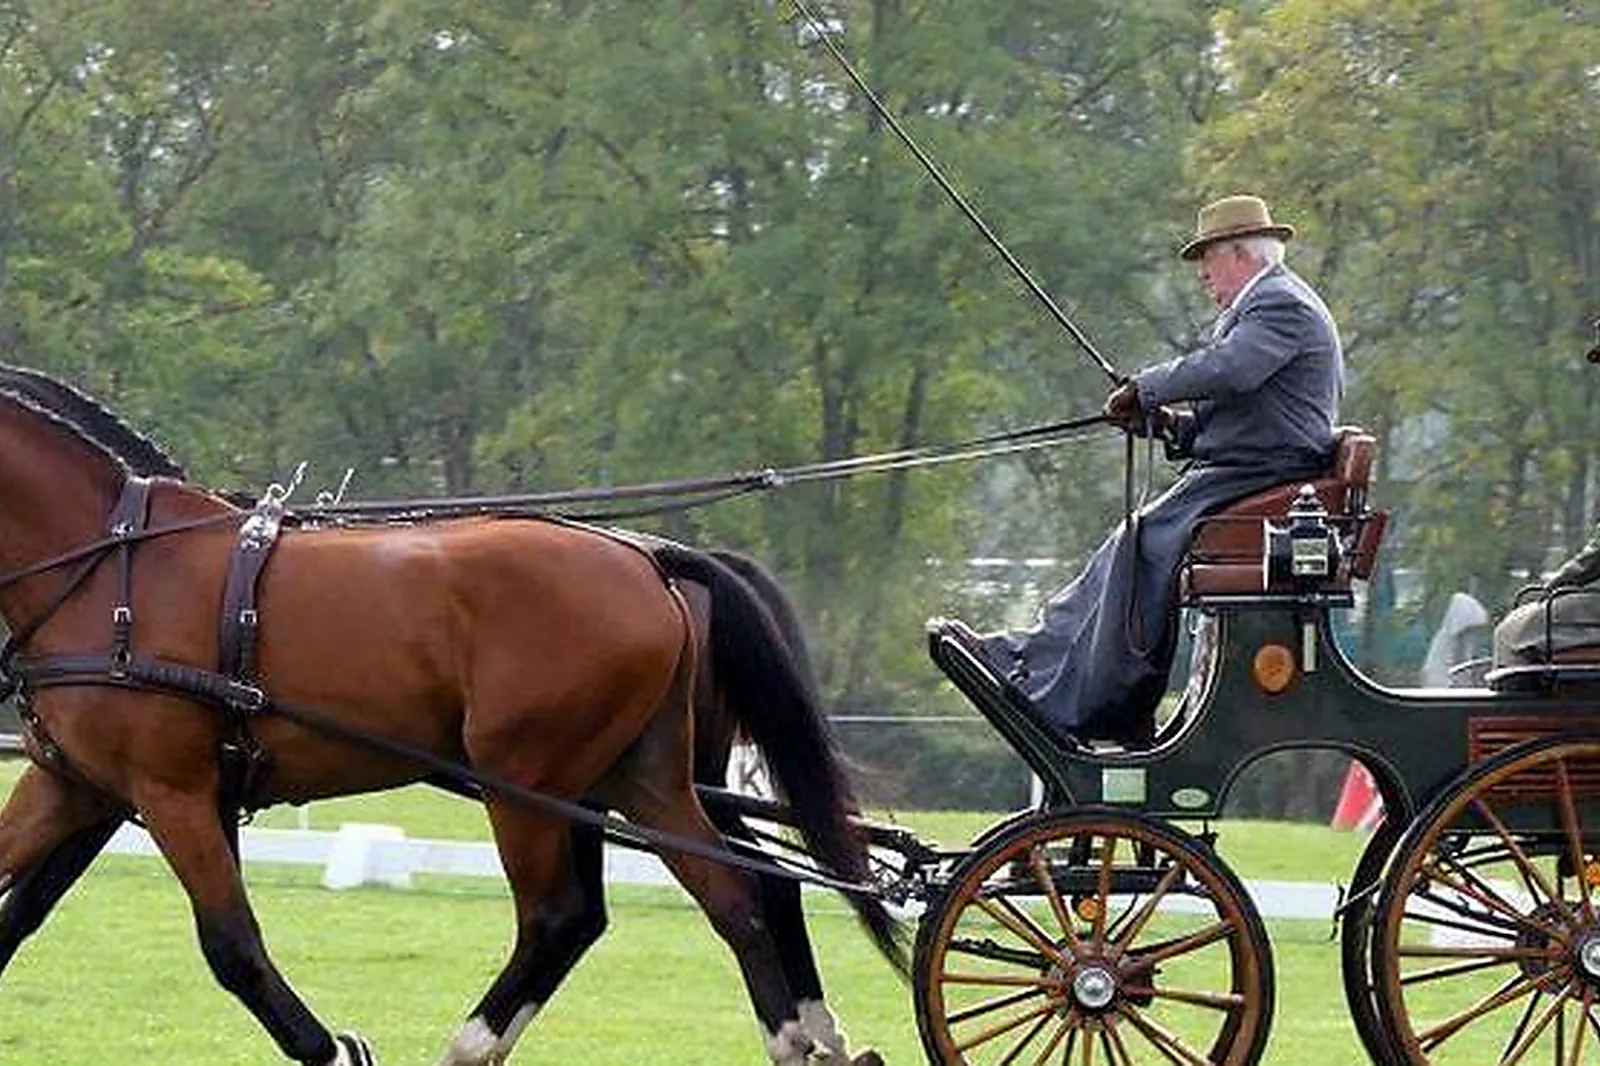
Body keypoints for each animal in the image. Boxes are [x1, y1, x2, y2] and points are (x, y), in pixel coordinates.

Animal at [0, 367, 902, 1066]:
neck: (111, 569)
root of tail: (650, 559)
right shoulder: (79, 787)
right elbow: (14, 907)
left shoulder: (173, 793)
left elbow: (232, 946)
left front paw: (333, 1049)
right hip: (637, 778)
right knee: (743, 891)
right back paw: (798, 1038)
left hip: (528, 782)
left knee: (563, 917)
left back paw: (471, 1044)